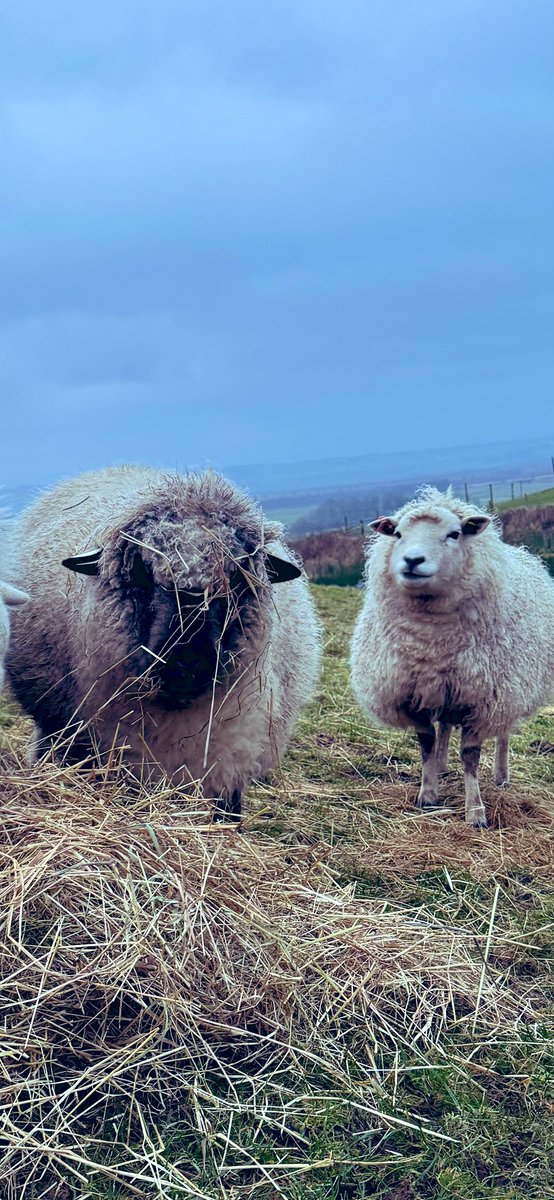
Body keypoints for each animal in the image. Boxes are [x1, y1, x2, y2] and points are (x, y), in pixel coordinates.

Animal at [350, 487, 554, 827]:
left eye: (454, 534)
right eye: (399, 534)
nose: (413, 560)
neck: (432, 643)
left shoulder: (480, 699)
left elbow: (470, 757)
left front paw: (476, 812)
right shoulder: (414, 694)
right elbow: (426, 744)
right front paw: (427, 794)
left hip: (509, 687)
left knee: (503, 732)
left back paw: (501, 776)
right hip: (445, 689)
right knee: (444, 726)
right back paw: (442, 766)